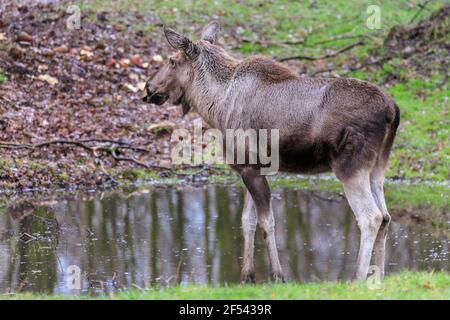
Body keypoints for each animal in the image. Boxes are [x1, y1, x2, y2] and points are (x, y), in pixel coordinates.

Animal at [142, 22, 400, 282]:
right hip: (377, 166)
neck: (215, 106)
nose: (148, 87)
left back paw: (357, 278)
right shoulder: (249, 168)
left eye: (172, 60)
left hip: (350, 166)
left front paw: (277, 275)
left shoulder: (250, 166)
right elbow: (247, 221)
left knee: (371, 217)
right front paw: (247, 276)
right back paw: (378, 277)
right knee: (386, 216)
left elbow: (267, 223)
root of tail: (392, 110)